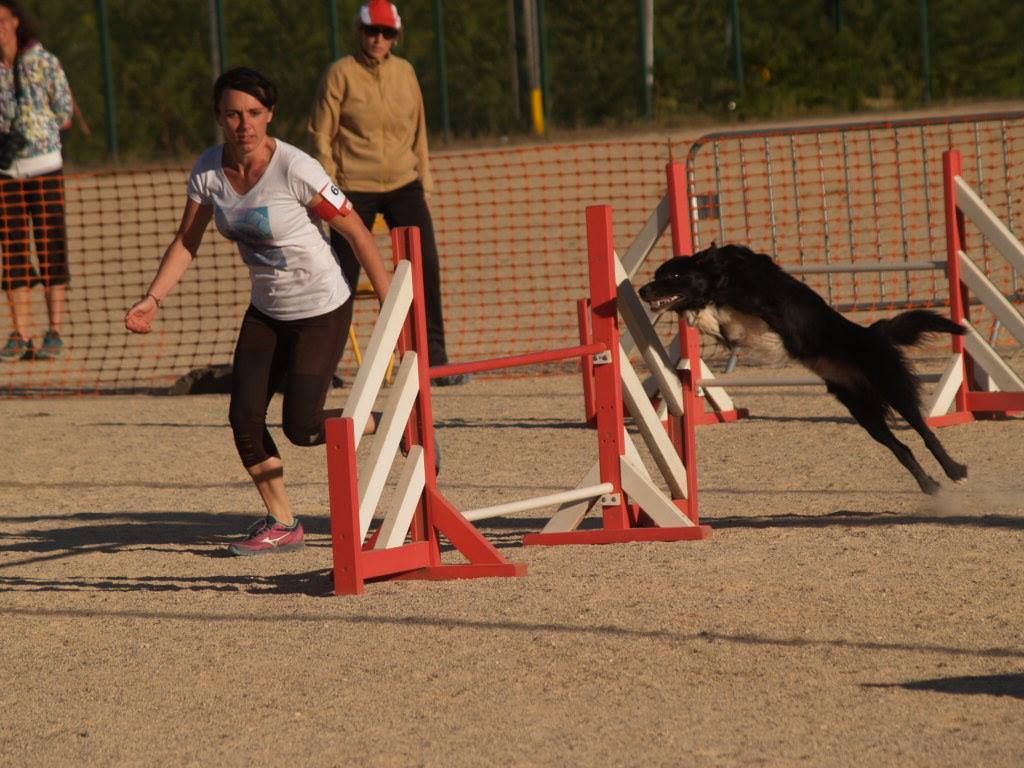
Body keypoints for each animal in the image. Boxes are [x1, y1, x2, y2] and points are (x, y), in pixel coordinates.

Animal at [638, 241, 966, 493]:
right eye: (657, 274)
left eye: (673, 274)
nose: (641, 291)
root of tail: (872, 332)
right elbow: (709, 317)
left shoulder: (758, 297)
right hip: (864, 412)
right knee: (902, 448)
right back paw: (929, 485)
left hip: (893, 388)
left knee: (926, 432)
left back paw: (955, 470)